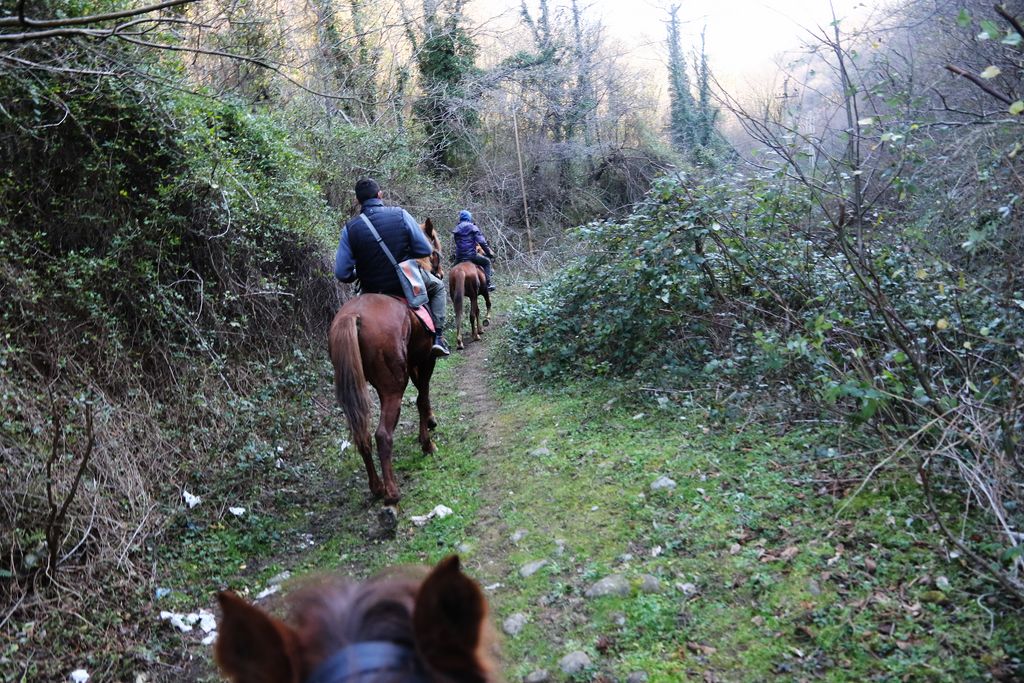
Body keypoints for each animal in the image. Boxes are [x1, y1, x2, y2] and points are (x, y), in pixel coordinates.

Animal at [327, 221, 442, 505]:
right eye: (435, 248)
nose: (440, 272)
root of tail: (353, 316)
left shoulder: (412, 362)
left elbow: (422, 396)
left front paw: (429, 424)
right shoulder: (426, 360)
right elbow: (422, 397)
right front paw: (427, 441)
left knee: (364, 436)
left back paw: (377, 487)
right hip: (392, 387)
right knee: (382, 434)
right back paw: (391, 492)